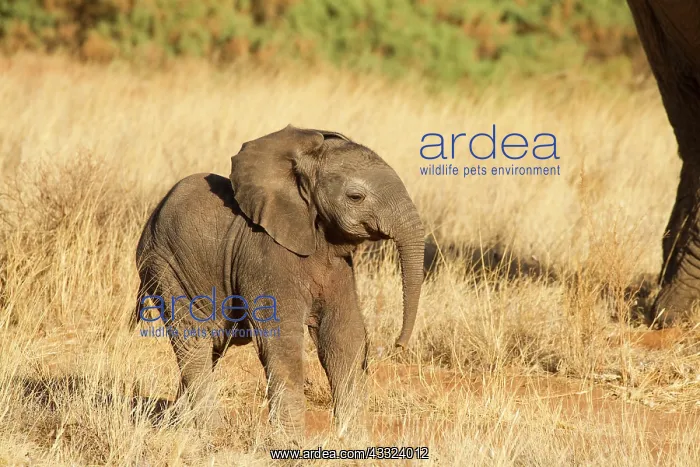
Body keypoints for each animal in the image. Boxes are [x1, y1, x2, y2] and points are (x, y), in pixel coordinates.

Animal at [131, 125, 425, 443]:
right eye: (355, 197)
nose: (399, 344)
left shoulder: (339, 264)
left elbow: (343, 336)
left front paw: (354, 440)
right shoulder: (265, 256)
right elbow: (282, 339)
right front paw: (292, 443)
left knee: (210, 348)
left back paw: (181, 425)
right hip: (165, 267)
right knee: (194, 340)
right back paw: (213, 430)